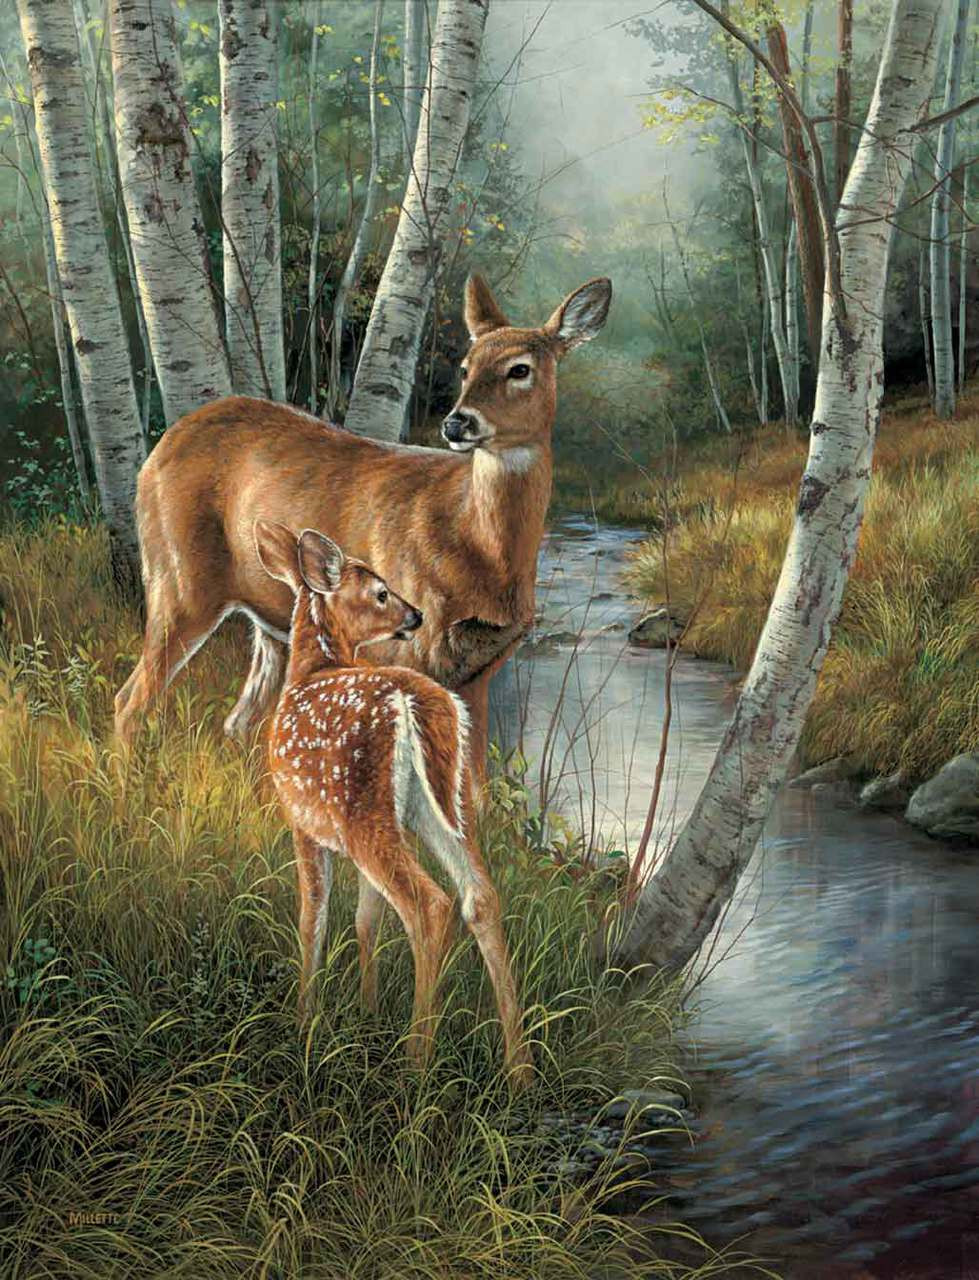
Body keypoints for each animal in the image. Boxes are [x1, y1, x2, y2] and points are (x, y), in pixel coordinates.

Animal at [113, 273, 613, 775]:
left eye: (520, 369)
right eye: (466, 368)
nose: (457, 423)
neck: (481, 547)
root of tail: (158, 450)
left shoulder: (479, 669)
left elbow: (472, 780)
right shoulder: (398, 651)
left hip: (269, 623)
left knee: (239, 720)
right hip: (178, 581)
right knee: (130, 697)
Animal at [254, 519, 532, 1084]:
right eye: (381, 592)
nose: (416, 616)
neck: (311, 669)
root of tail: (416, 701)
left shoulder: (302, 822)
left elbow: (313, 915)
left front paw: (305, 1019)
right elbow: (366, 919)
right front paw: (368, 1008)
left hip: (363, 811)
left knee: (430, 905)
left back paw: (415, 1063)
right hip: (442, 805)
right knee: (480, 896)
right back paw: (519, 1067)